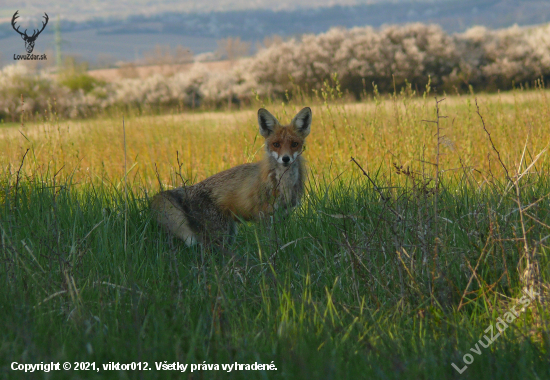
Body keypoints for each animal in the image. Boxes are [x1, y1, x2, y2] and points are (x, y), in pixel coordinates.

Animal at [153, 106, 312, 246]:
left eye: (294, 144)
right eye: (276, 144)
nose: (286, 159)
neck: (284, 185)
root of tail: (189, 188)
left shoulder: (285, 214)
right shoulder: (264, 215)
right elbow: (269, 242)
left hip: (230, 233)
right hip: (219, 235)